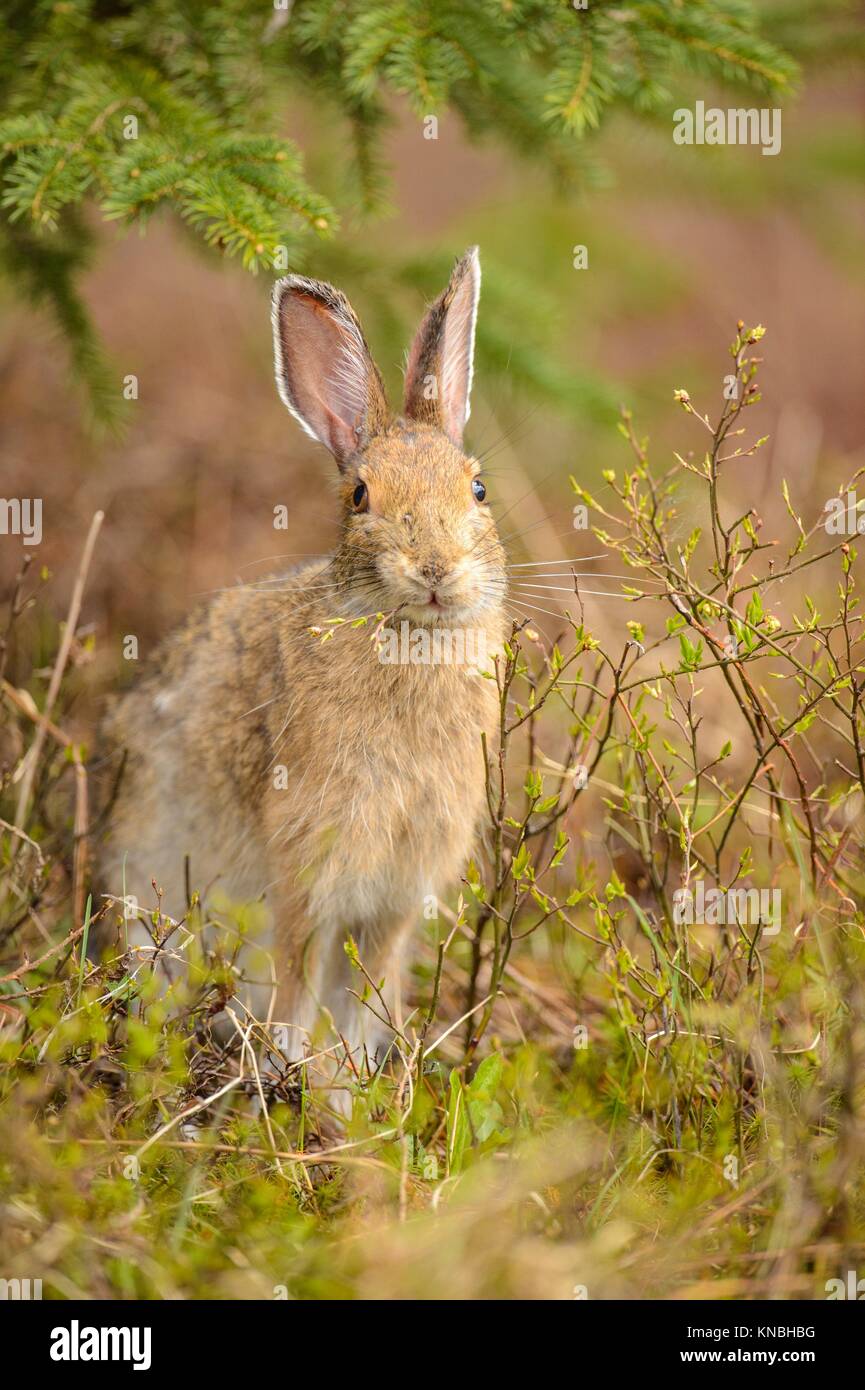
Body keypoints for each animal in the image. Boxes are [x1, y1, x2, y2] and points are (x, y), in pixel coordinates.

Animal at [97, 247, 507, 1082]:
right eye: (359, 497)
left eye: (478, 489)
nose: (435, 569)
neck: (409, 637)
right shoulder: (309, 861)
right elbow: (298, 963)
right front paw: (292, 1062)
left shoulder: (399, 889)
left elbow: (367, 986)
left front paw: (352, 1082)